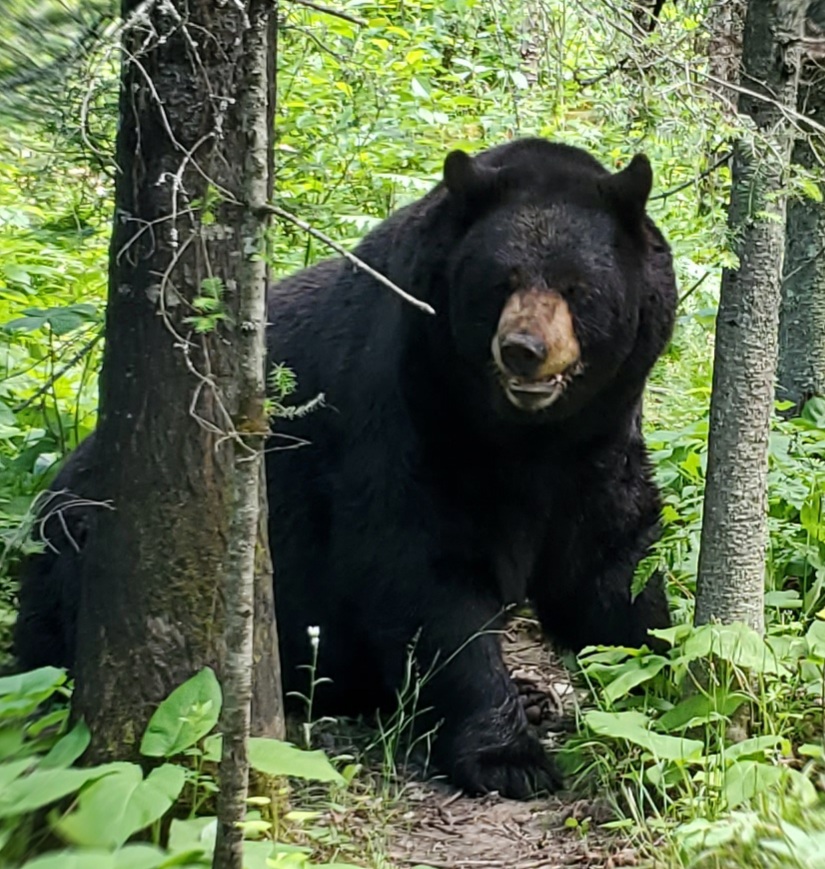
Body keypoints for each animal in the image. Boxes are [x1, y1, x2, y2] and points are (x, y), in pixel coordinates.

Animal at [14, 137, 677, 800]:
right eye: (499, 282)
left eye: (577, 287)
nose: (524, 350)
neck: (520, 435)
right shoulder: (405, 411)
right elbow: (423, 573)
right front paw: (509, 757)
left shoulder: (597, 437)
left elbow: (610, 561)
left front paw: (665, 671)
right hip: (76, 542)